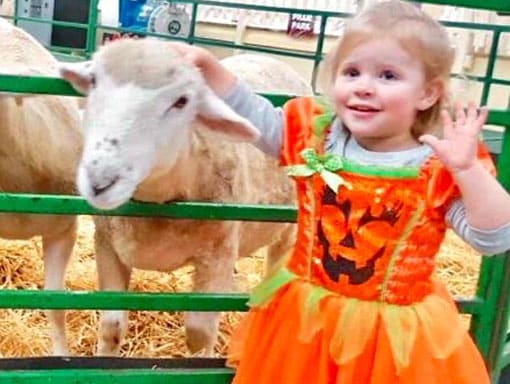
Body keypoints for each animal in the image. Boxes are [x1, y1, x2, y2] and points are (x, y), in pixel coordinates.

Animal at [61, 39, 312, 356]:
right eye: (94, 80)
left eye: (181, 101)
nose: (100, 180)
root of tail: (272, 60)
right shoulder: (107, 245)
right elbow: (111, 326)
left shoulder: (217, 256)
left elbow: (200, 334)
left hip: (288, 231)